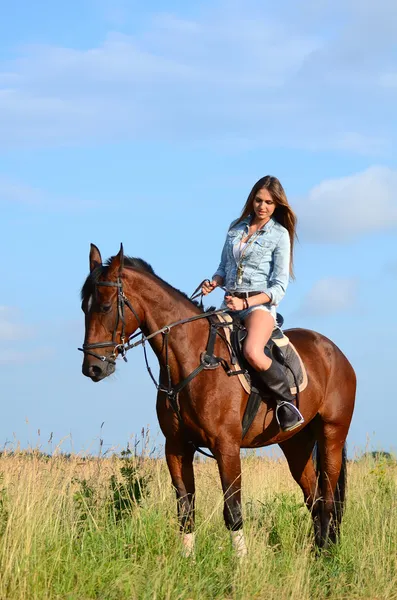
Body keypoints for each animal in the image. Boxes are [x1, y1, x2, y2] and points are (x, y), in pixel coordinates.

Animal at [79, 244, 356, 556]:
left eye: (104, 307)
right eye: (83, 307)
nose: (92, 368)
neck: (193, 358)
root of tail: (334, 351)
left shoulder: (227, 447)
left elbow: (233, 510)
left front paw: (241, 563)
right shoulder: (177, 448)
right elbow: (186, 509)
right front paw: (187, 560)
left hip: (331, 436)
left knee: (328, 498)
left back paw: (327, 556)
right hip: (296, 443)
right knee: (314, 498)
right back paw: (318, 553)